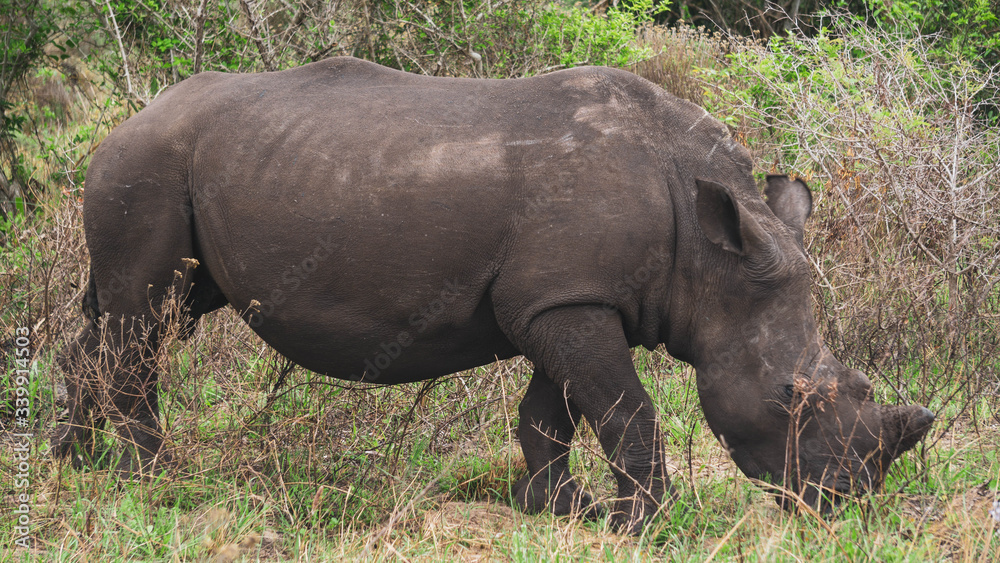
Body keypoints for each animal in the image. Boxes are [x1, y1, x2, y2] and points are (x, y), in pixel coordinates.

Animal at [54, 57, 934, 533]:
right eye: (790, 396)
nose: (843, 499)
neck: (708, 254)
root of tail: (130, 116)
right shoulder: (569, 302)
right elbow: (626, 410)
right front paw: (646, 523)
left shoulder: (564, 298)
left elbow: (552, 412)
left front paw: (561, 509)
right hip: (148, 164)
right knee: (144, 313)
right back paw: (152, 476)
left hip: (185, 162)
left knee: (148, 312)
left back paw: (74, 460)